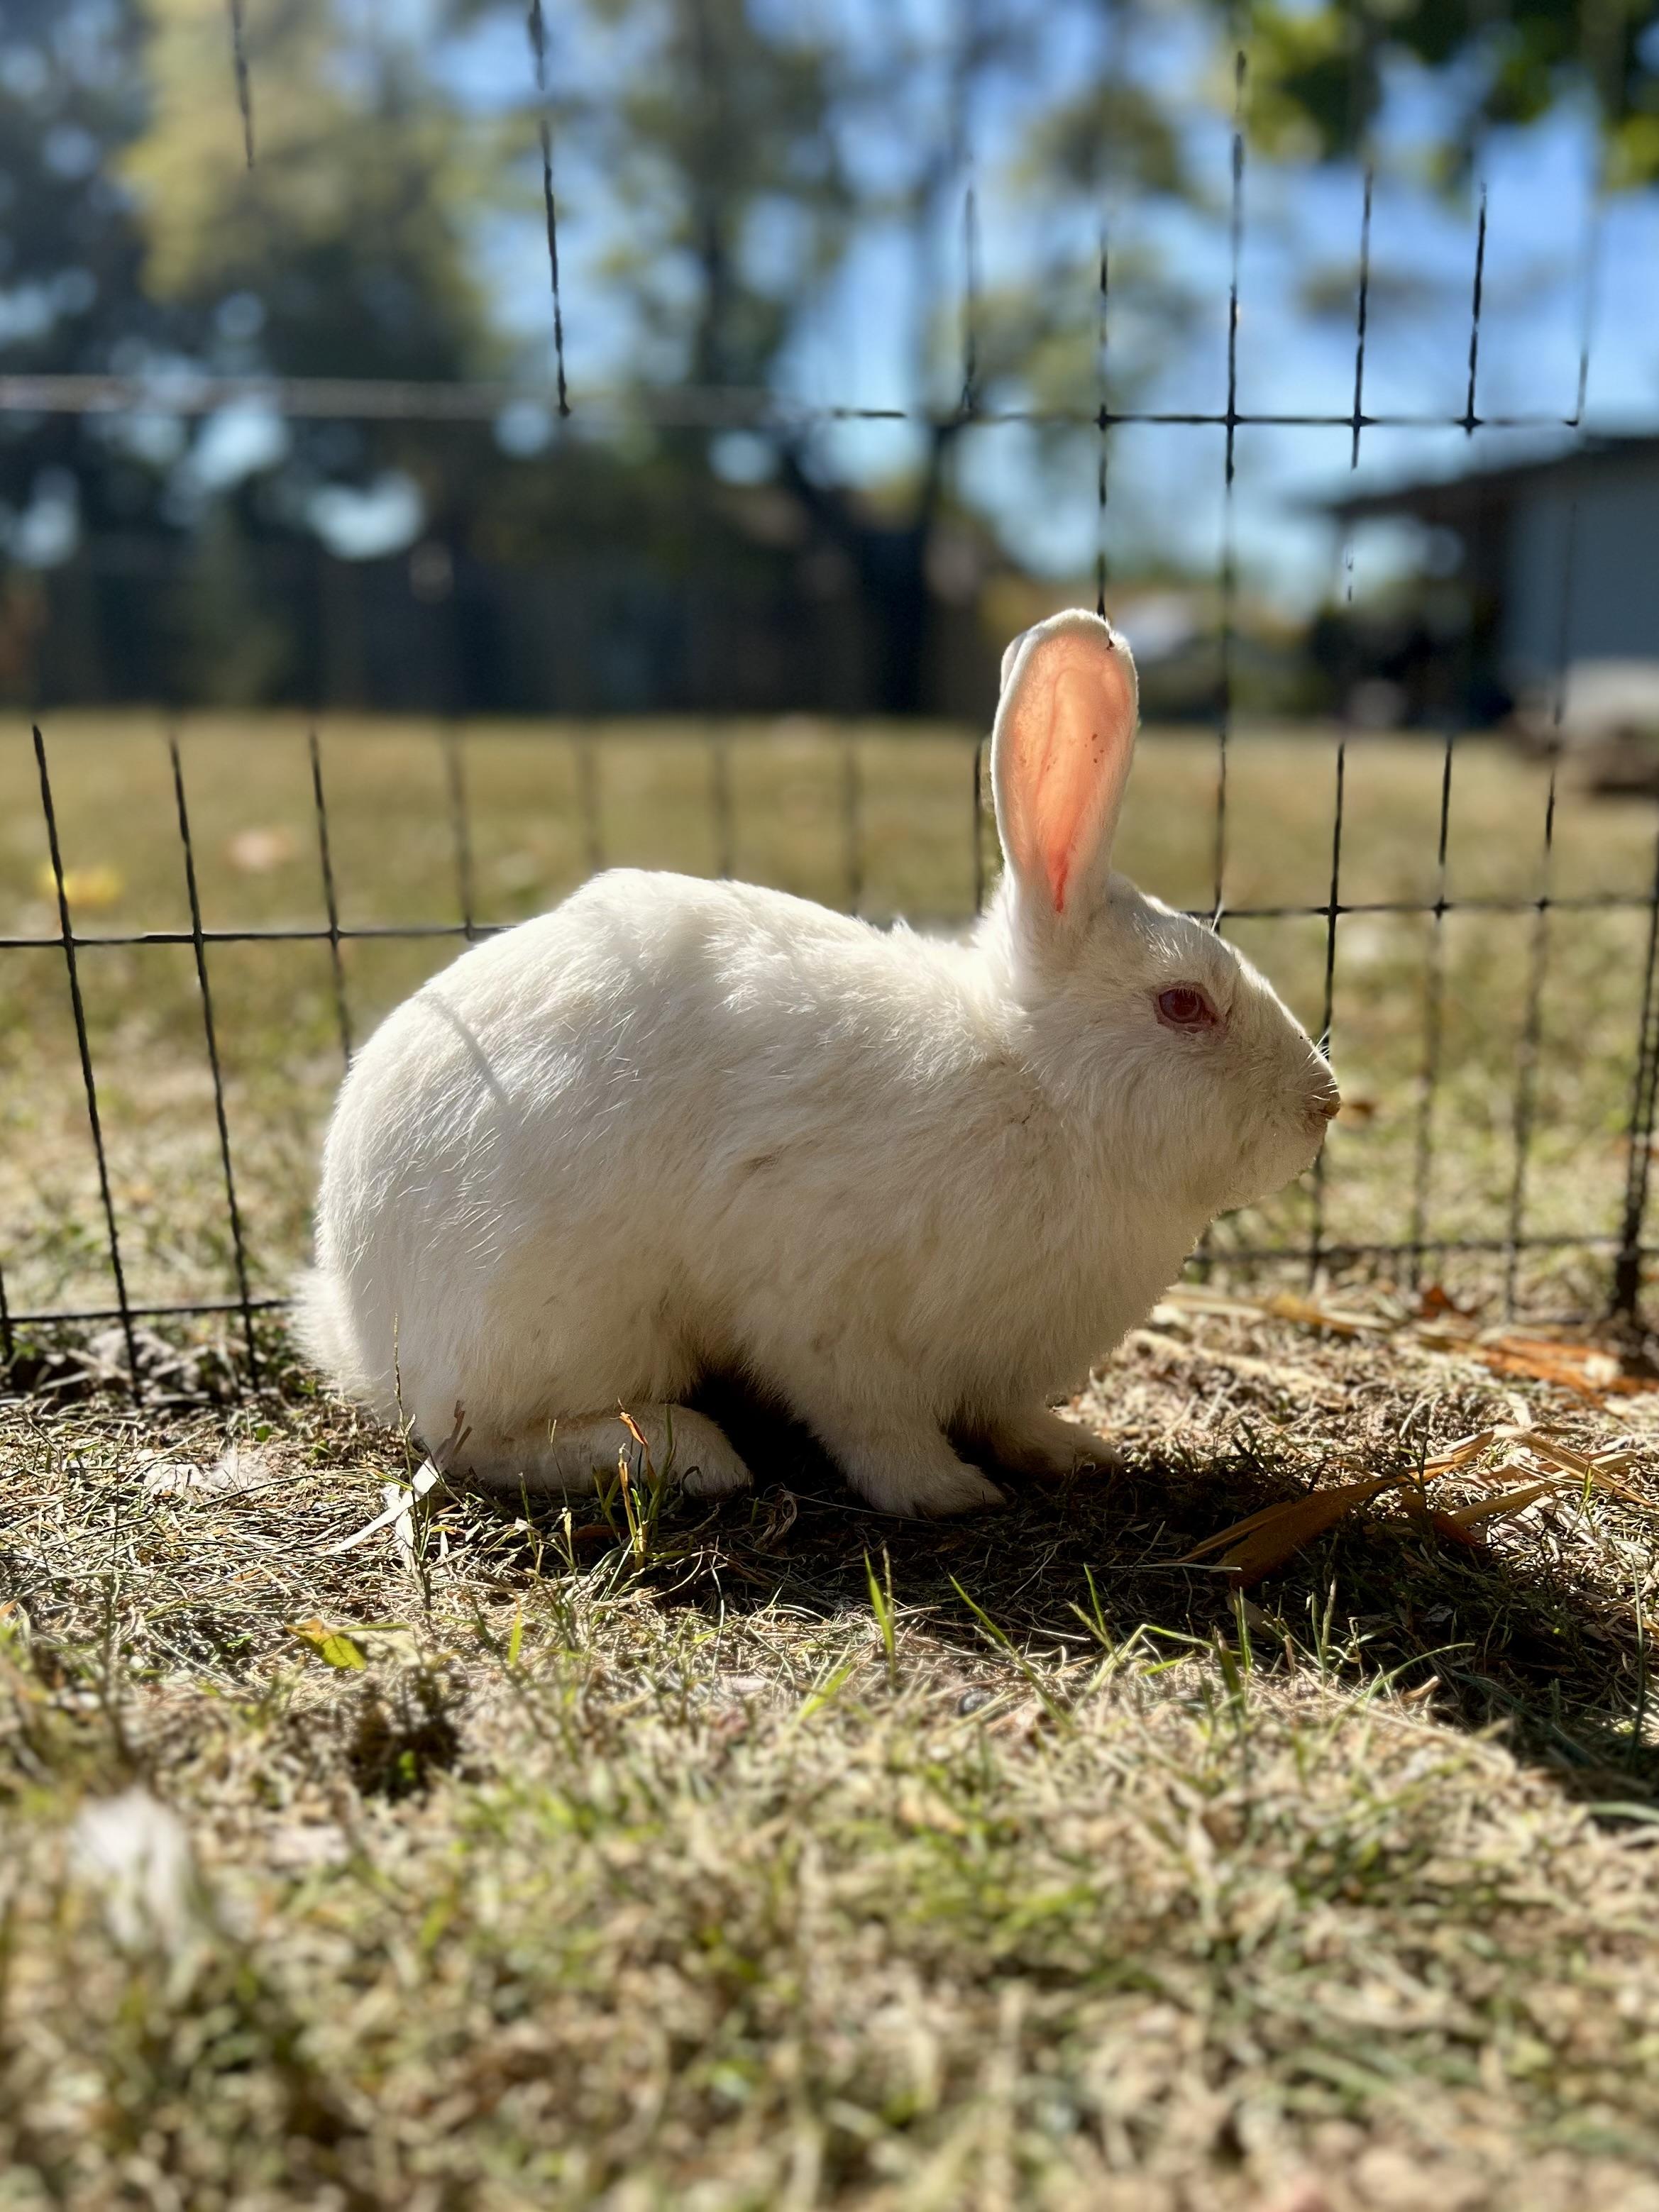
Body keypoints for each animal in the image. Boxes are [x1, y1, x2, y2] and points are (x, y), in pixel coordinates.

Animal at [299, 608, 1339, 1517]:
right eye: (1182, 1005)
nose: (1322, 1106)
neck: (1035, 1085)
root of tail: (358, 1319)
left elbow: (1004, 1415)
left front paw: (1071, 1452)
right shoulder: (821, 1309)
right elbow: (872, 1421)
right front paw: (944, 1492)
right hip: (559, 1317)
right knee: (475, 1437)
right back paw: (688, 1453)